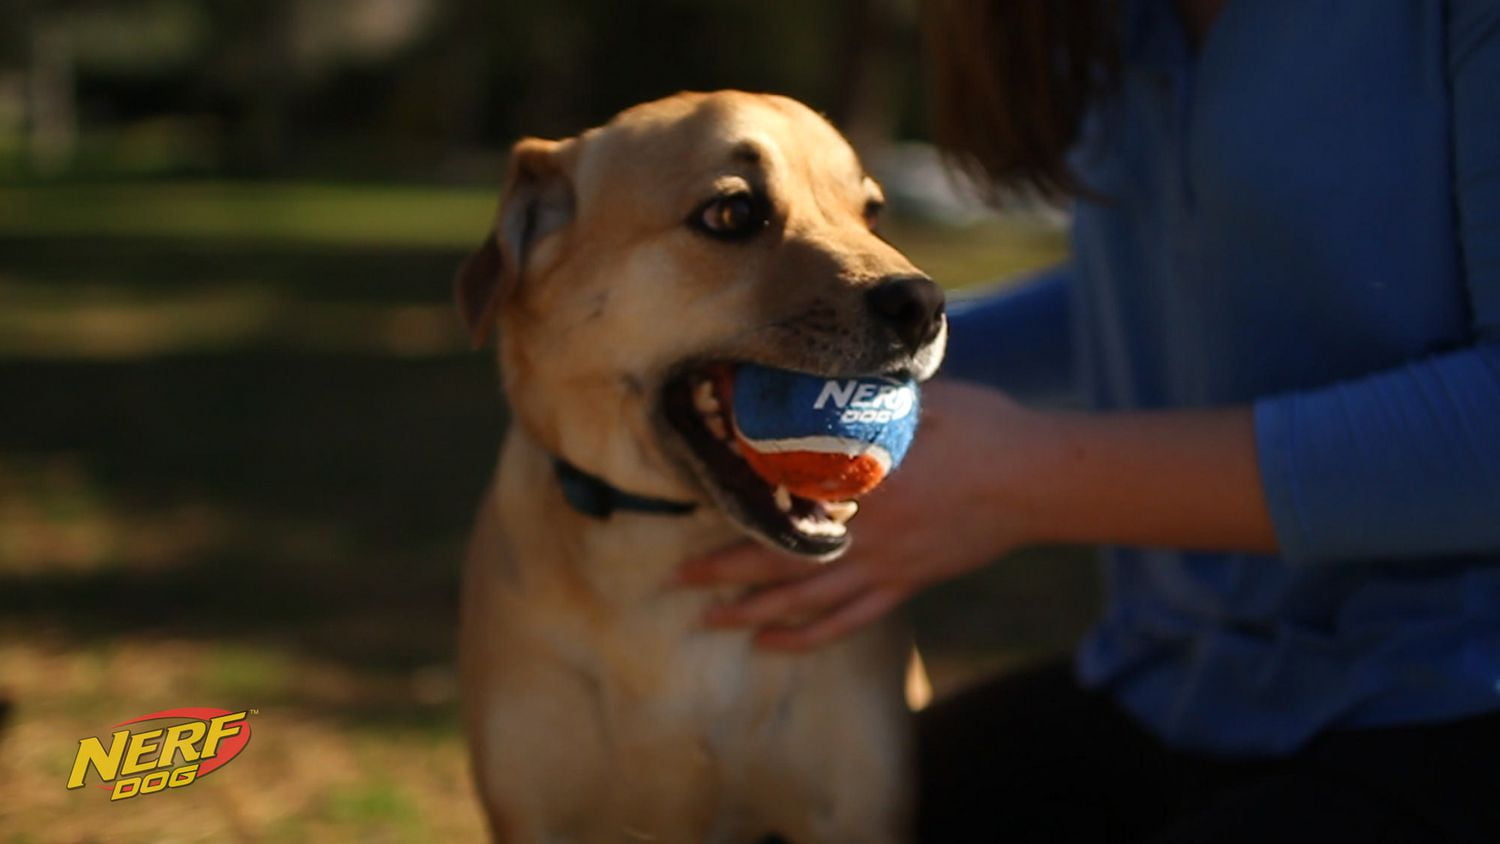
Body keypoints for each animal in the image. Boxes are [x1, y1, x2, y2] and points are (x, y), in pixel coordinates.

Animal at [456, 89, 948, 839]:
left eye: (871, 213)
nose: (924, 305)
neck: (666, 546)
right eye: (732, 213)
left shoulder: (857, 810)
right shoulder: (535, 811)